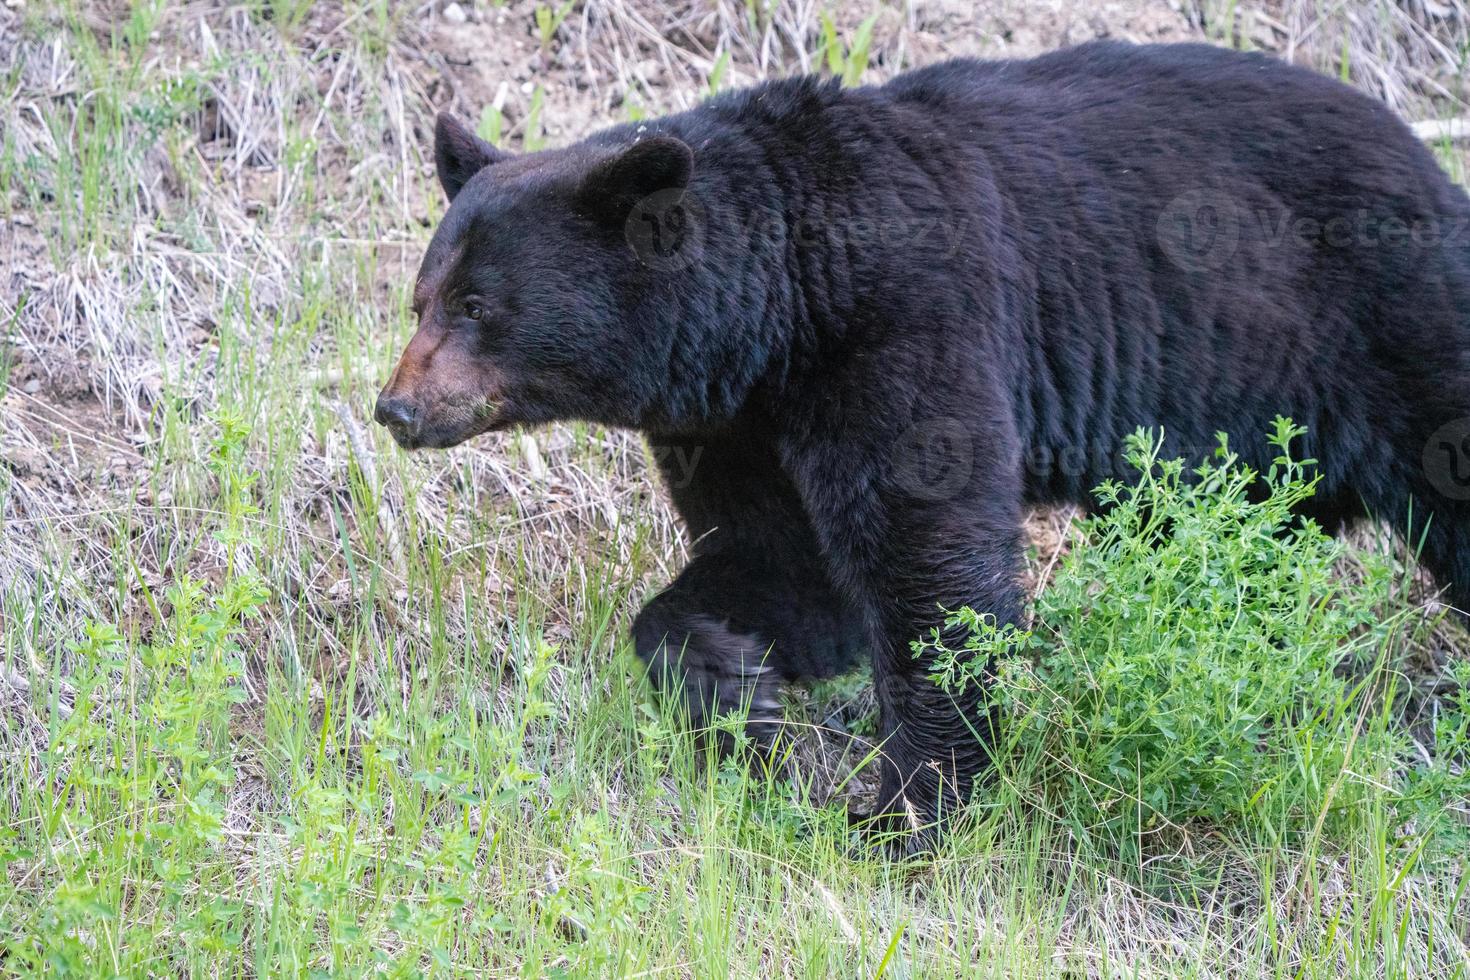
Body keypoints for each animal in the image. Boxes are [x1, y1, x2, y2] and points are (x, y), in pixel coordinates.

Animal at [376, 42, 1470, 846]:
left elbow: (928, 559)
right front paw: (739, 695)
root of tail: (1428, 159)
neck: (782, 296)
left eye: (478, 306)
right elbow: (785, 566)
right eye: (423, 296)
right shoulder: (738, 420)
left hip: (1388, 326)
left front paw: (913, 803)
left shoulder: (905, 318)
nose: (396, 408)